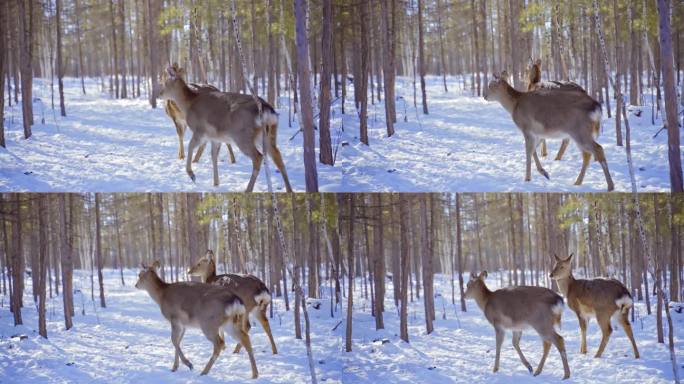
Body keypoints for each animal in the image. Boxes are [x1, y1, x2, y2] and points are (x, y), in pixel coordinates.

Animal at [158, 66, 292, 194]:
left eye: (165, 82)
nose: (159, 94)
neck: (189, 104)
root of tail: (267, 111)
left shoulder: (200, 130)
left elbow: (190, 146)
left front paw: (192, 174)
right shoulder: (215, 137)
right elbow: (213, 156)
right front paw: (216, 183)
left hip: (242, 136)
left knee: (258, 157)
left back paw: (248, 190)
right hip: (268, 134)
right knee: (278, 157)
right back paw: (289, 190)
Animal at [480, 73, 616, 190]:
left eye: (491, 85)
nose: (484, 96)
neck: (514, 105)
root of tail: (596, 108)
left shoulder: (526, 128)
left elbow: (528, 151)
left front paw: (527, 179)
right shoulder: (537, 133)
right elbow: (533, 150)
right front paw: (544, 173)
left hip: (580, 131)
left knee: (598, 149)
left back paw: (610, 186)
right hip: (582, 133)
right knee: (587, 154)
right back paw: (578, 182)